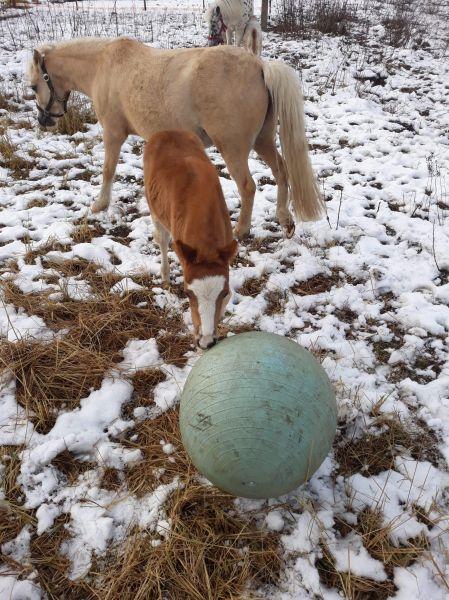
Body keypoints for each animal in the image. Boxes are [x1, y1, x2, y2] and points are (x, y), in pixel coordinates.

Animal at [27, 35, 322, 239]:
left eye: (33, 86)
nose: (44, 121)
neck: (103, 65)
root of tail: (260, 66)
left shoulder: (113, 134)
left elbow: (108, 170)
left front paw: (99, 205)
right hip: (263, 140)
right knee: (281, 171)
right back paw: (285, 221)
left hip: (233, 148)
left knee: (248, 186)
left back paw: (241, 231)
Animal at [144, 129, 236, 350]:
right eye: (187, 293)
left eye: (224, 293)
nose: (206, 342)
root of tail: (166, 131)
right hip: (154, 208)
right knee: (161, 239)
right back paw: (165, 276)